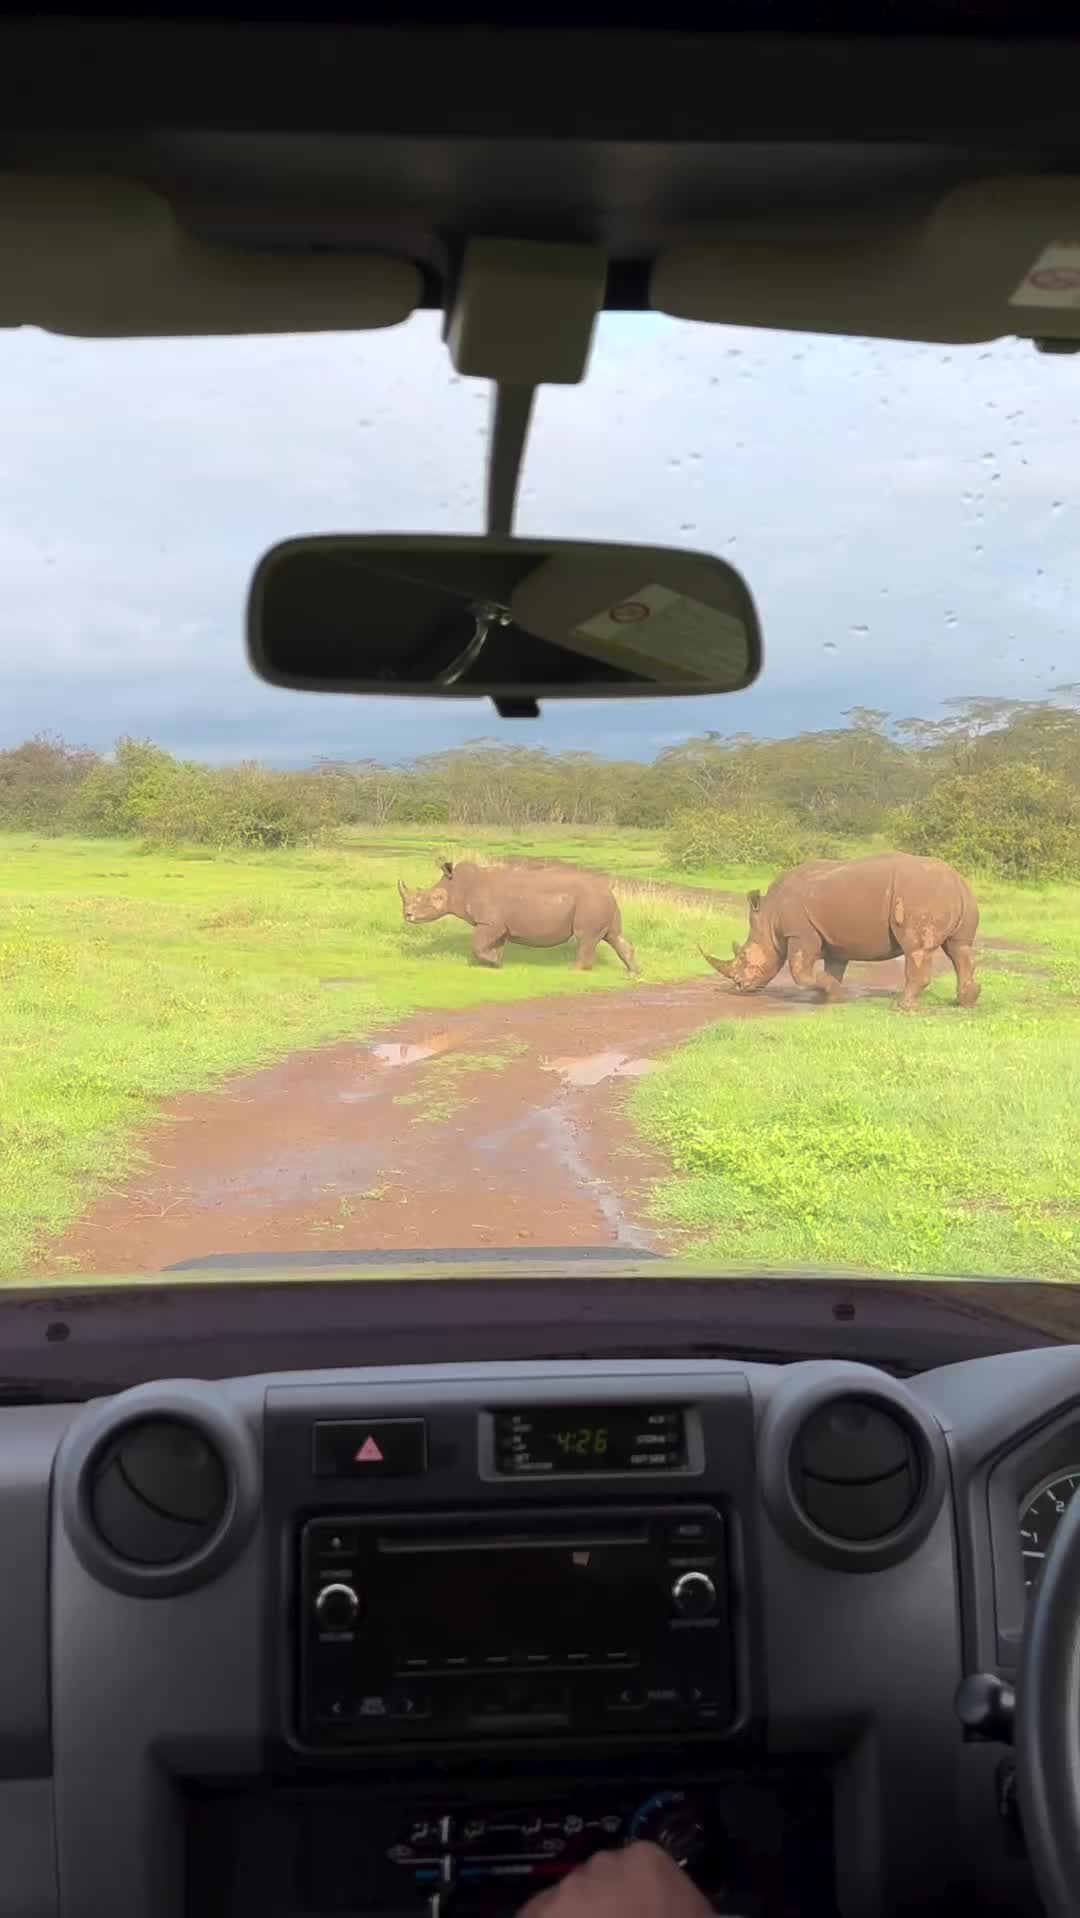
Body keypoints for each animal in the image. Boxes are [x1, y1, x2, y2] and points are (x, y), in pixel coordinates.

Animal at [397, 863, 636, 974]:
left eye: (432, 899)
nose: (407, 915)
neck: (458, 887)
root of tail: (608, 889)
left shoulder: (489, 922)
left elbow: (477, 944)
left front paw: (492, 962)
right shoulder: (498, 925)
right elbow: (494, 944)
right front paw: (494, 964)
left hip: (591, 901)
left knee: (585, 937)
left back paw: (573, 970)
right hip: (602, 902)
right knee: (614, 936)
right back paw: (633, 971)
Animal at [702, 847, 982, 1012]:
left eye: (744, 957)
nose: (740, 986)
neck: (769, 917)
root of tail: (956, 881)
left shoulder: (799, 932)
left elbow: (799, 972)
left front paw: (834, 994)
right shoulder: (834, 939)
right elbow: (833, 969)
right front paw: (831, 998)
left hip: (920, 895)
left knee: (917, 949)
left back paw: (901, 1007)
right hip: (957, 897)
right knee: (959, 948)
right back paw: (967, 1002)